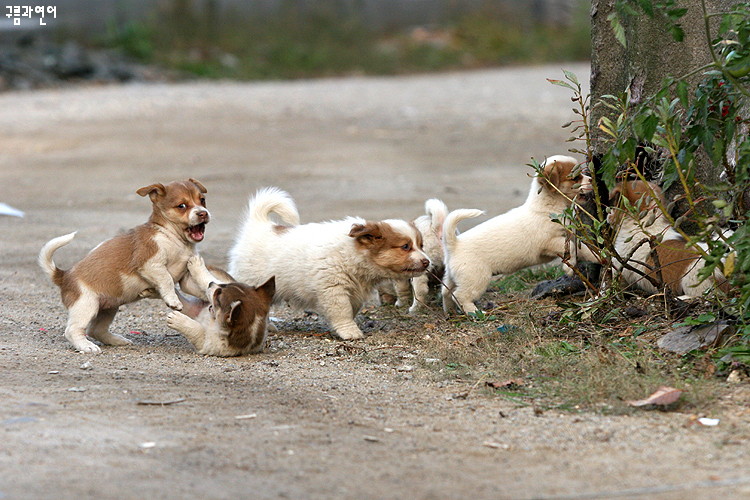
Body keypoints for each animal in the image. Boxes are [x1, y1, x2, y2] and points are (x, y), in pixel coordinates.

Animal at [41, 178, 212, 354]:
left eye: (202, 200)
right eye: (182, 206)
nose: (203, 213)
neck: (172, 237)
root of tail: (64, 275)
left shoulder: (185, 276)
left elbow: (198, 285)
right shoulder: (151, 263)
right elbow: (167, 280)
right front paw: (173, 300)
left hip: (108, 308)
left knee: (96, 330)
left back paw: (117, 340)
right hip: (86, 305)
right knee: (73, 330)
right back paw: (86, 346)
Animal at [440, 154, 600, 314]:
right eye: (576, 178)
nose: (591, 179)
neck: (549, 207)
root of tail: (454, 244)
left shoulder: (565, 238)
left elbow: (584, 249)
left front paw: (599, 257)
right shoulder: (549, 243)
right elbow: (572, 248)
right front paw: (569, 267)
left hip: (452, 277)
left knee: (445, 291)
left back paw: (450, 311)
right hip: (477, 278)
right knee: (459, 295)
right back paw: (475, 313)